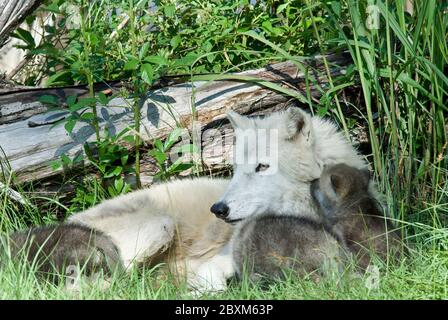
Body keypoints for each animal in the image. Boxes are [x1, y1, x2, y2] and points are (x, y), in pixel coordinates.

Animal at [65, 106, 368, 292]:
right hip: (159, 226)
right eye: (235, 168)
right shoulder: (214, 262)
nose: (218, 209)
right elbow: (214, 283)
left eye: (262, 166)